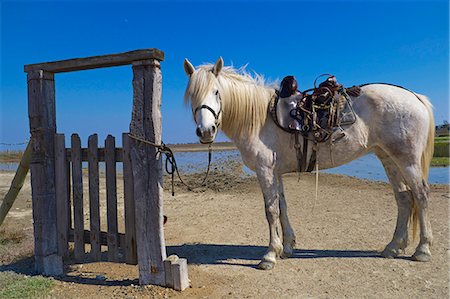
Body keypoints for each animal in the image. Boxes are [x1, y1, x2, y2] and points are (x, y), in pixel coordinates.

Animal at [181, 57, 434, 270]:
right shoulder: (276, 173)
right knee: (404, 198)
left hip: (407, 160)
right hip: (388, 158)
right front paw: (287, 247)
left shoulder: (265, 172)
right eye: (192, 95)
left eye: (216, 92)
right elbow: (282, 207)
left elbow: (271, 211)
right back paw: (393, 247)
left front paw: (269, 255)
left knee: (420, 195)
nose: (206, 131)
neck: (258, 119)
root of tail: (415, 96)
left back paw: (422, 249)